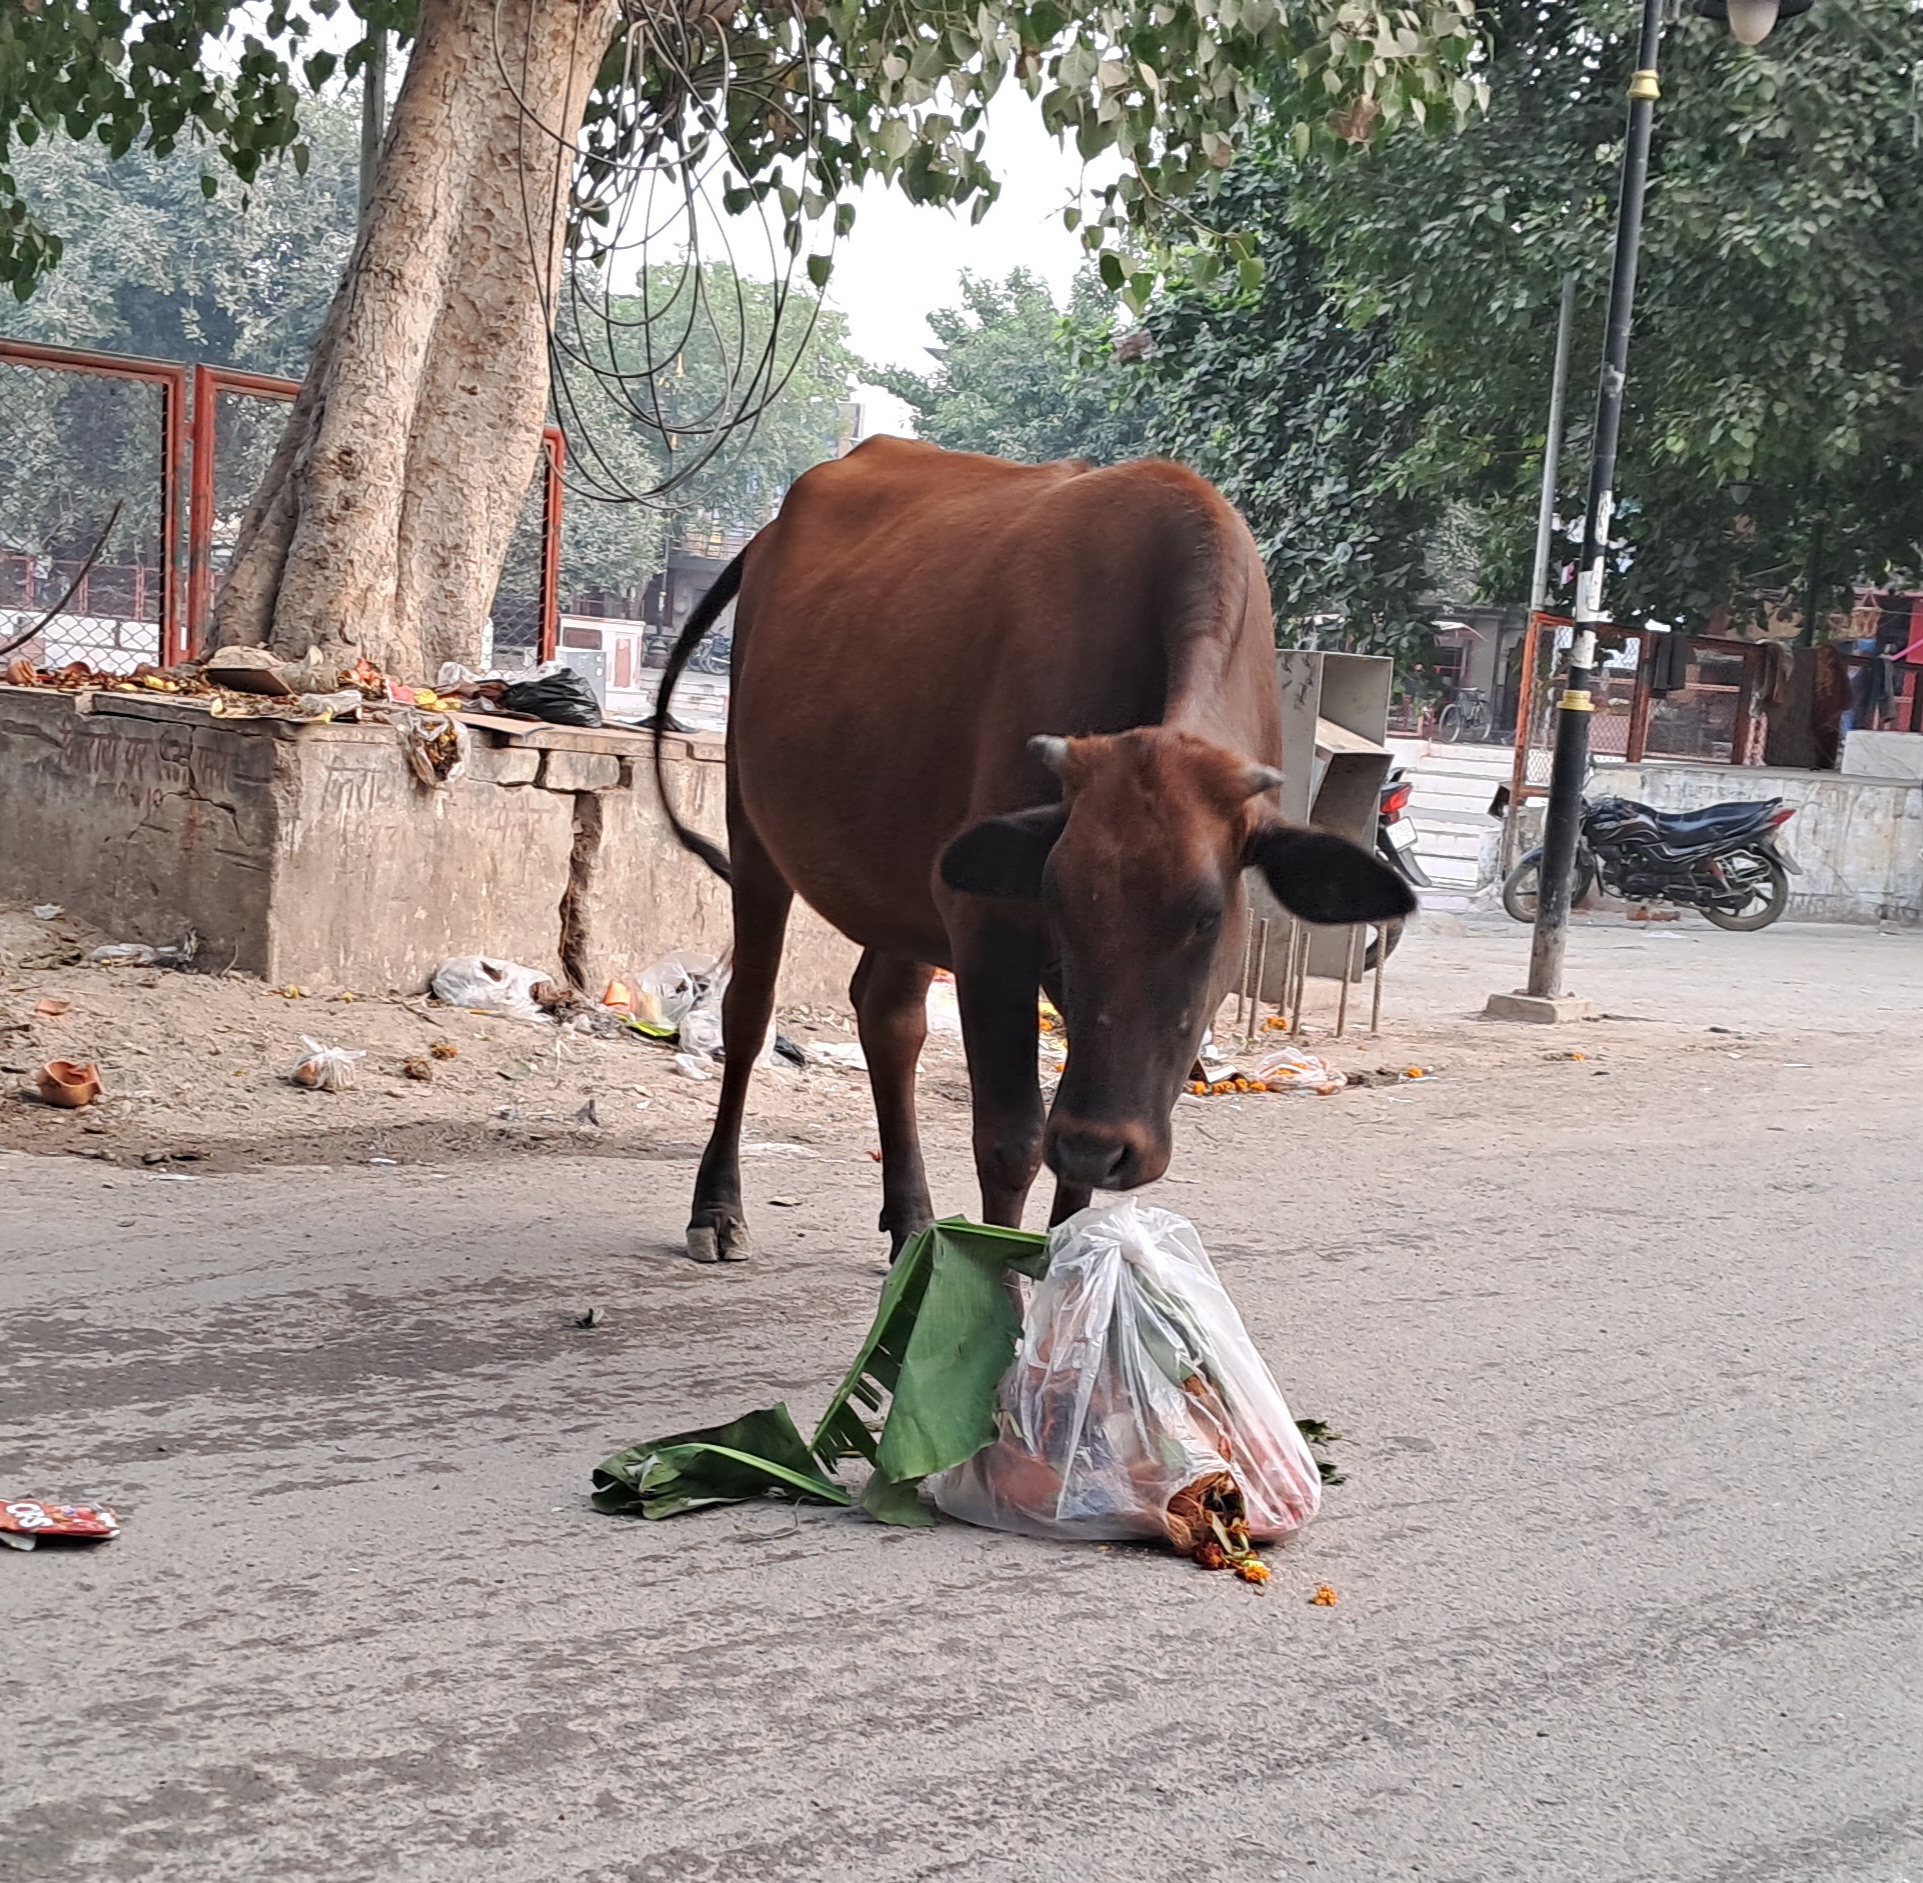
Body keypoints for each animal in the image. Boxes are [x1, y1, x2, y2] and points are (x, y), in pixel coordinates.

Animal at [653, 442, 1423, 1269]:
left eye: (1207, 917)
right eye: (1058, 896)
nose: (1098, 1143)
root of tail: (768, 534)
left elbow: (1074, 1176)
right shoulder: (989, 924)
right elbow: (1012, 1141)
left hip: (901, 887)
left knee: (888, 1016)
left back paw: (913, 1222)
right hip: (751, 826)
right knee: (749, 1009)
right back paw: (718, 1207)